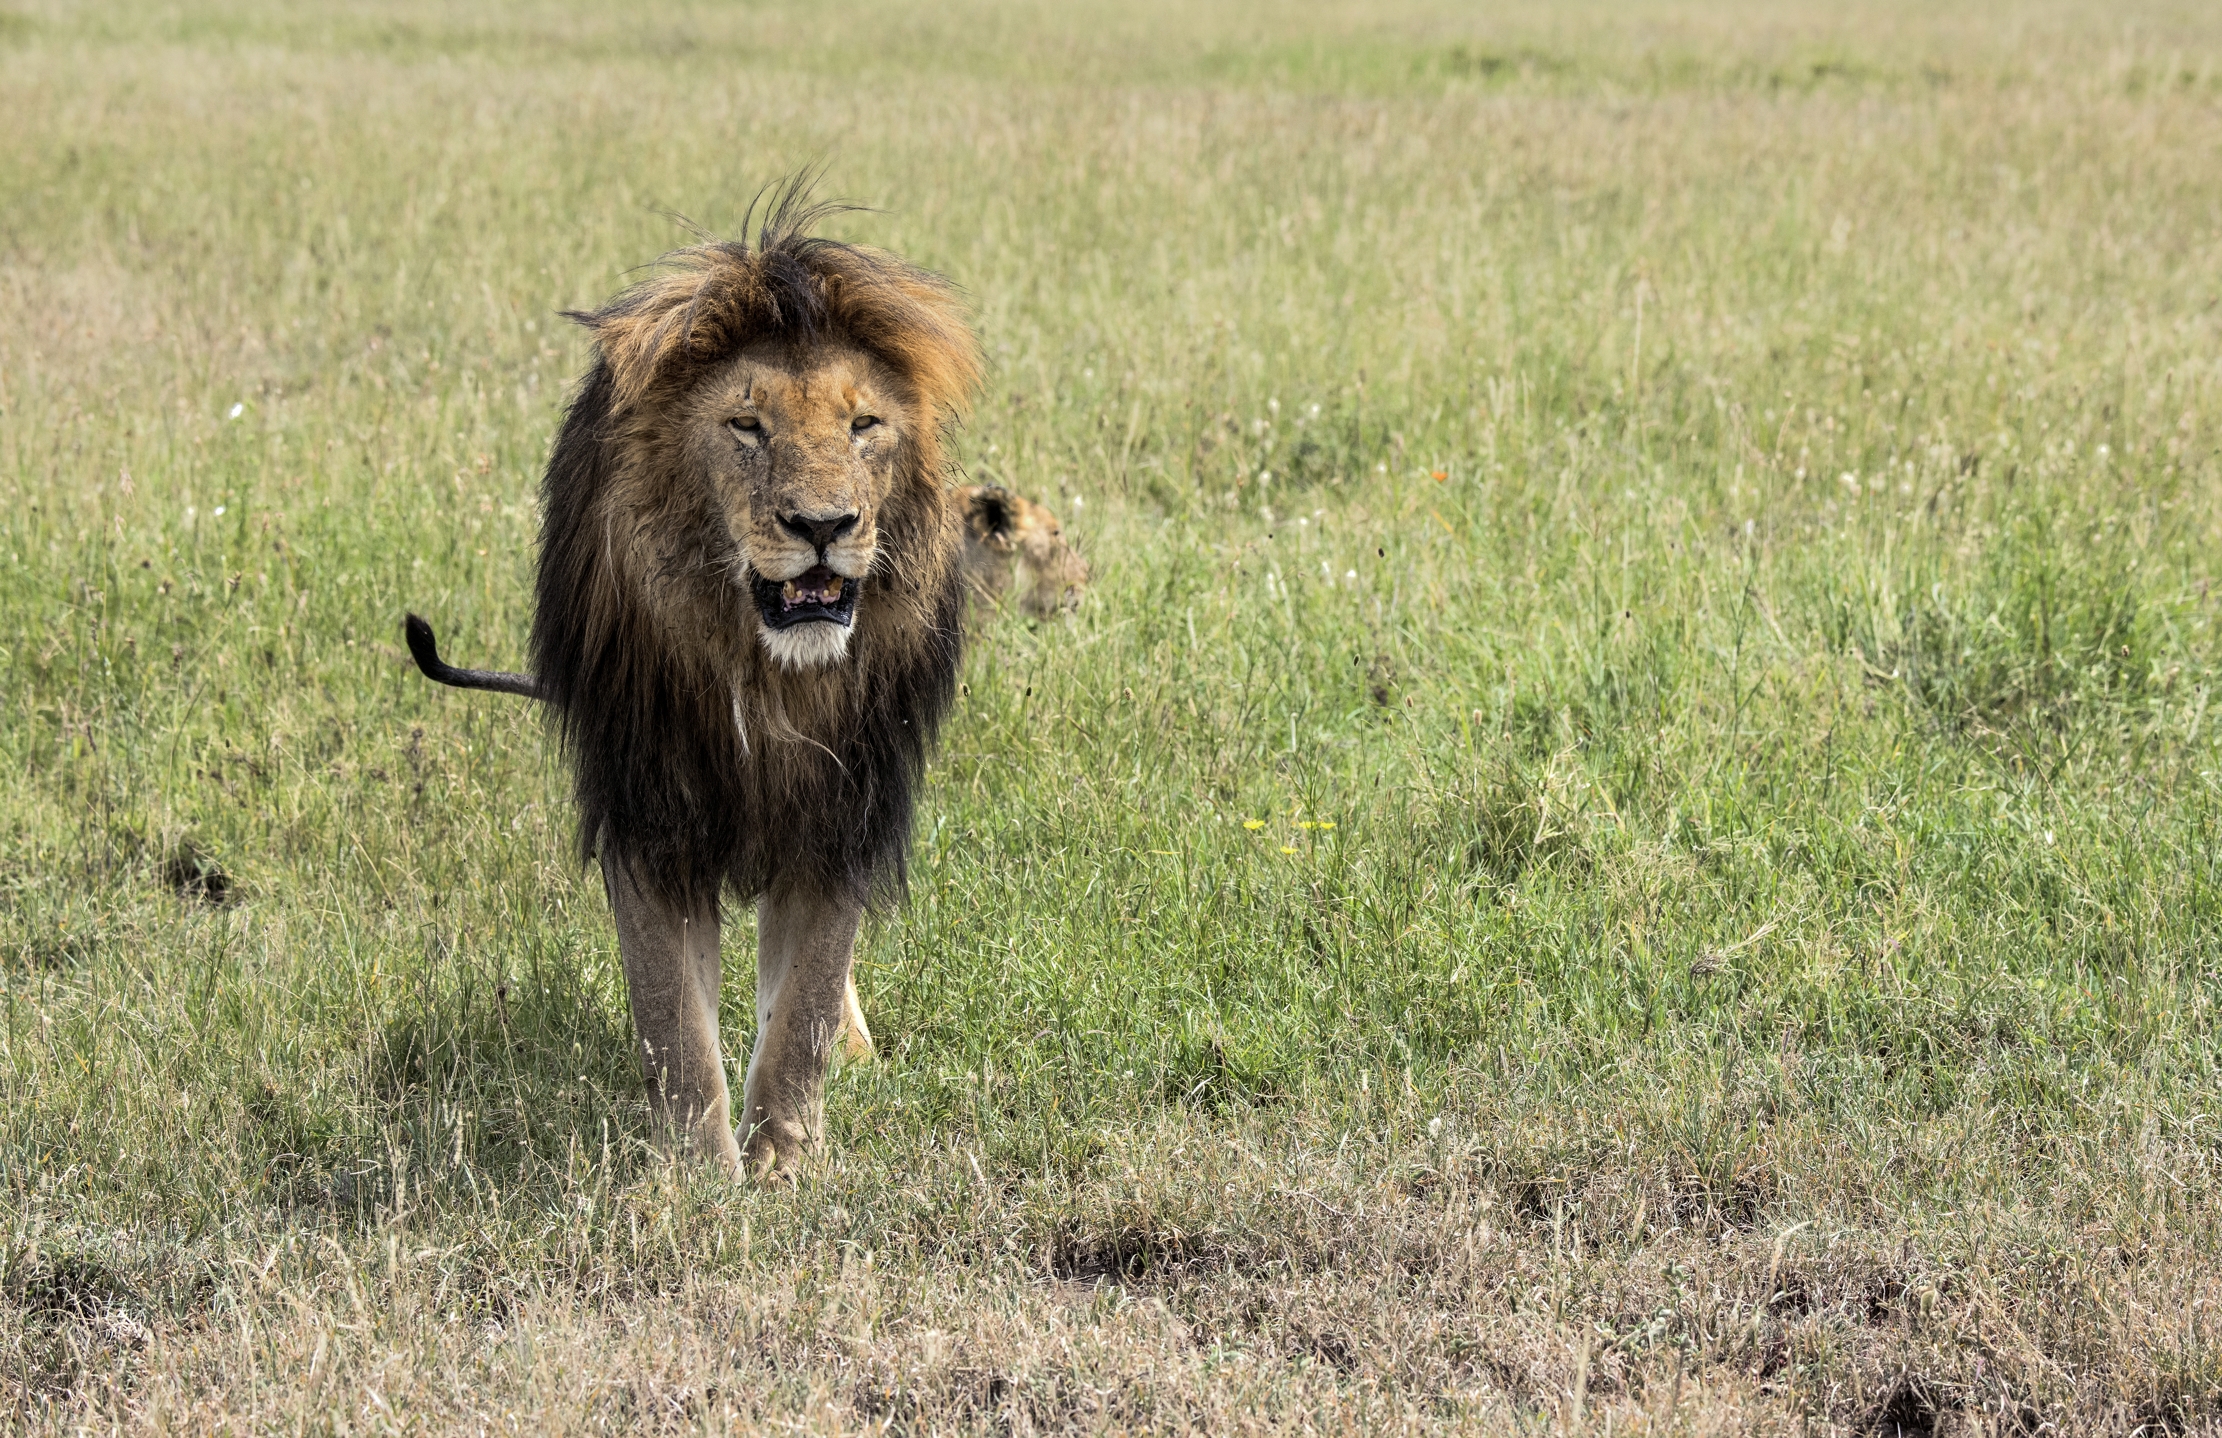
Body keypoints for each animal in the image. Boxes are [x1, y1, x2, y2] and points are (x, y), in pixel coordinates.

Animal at [402, 183, 980, 1178]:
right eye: (746, 425)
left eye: (863, 425)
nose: (822, 525)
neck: (769, 678)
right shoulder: (652, 815)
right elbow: (672, 1021)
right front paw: (699, 1176)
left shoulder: (841, 811)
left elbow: (805, 1006)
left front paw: (781, 1161)